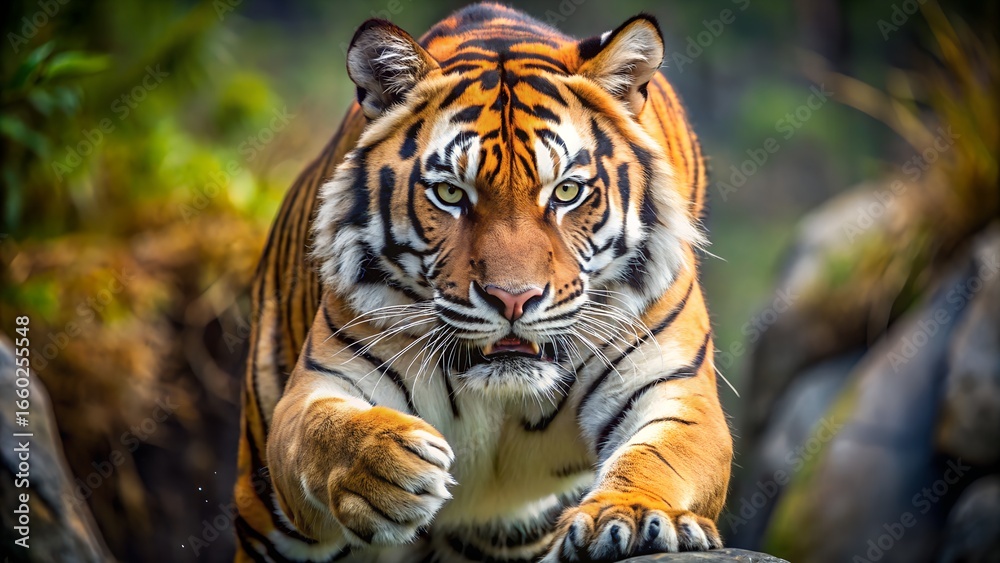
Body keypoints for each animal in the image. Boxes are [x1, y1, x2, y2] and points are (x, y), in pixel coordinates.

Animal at [232, 4, 732, 562]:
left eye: (566, 192)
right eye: (451, 193)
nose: (513, 299)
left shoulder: (671, 383)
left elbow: (661, 456)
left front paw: (630, 515)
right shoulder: (321, 380)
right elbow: (318, 430)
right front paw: (385, 465)